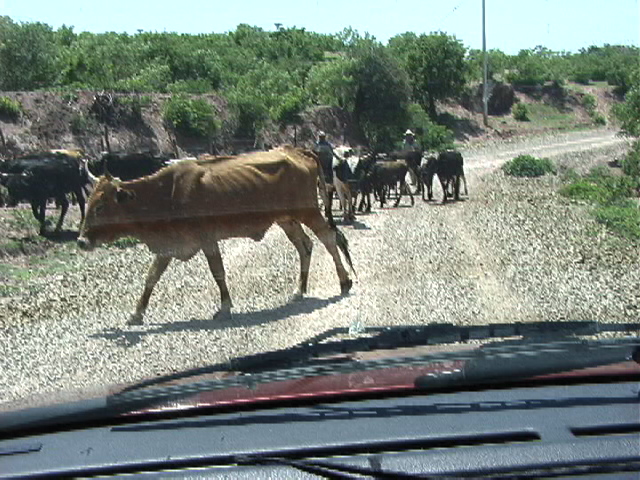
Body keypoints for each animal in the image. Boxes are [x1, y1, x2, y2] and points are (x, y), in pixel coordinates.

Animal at [78, 146, 356, 326]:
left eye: (100, 207)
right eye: (88, 202)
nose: (81, 241)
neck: (166, 194)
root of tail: (297, 150)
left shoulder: (207, 237)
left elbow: (217, 272)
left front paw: (224, 307)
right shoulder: (169, 245)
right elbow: (151, 277)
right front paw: (137, 314)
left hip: (308, 211)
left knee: (329, 239)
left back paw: (344, 282)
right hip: (287, 219)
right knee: (305, 245)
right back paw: (299, 290)